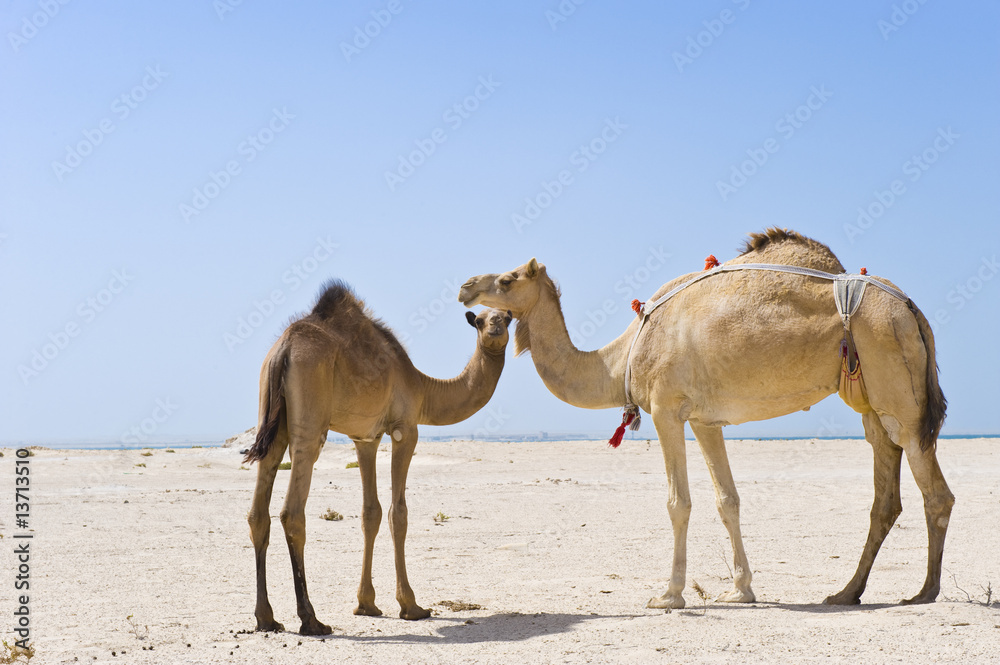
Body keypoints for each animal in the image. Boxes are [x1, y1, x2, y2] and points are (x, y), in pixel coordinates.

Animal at [241, 280, 508, 632]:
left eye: (507, 317)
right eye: (479, 320)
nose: (495, 328)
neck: (422, 388)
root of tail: (283, 350)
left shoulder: (365, 438)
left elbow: (371, 513)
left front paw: (366, 604)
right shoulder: (405, 428)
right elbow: (398, 513)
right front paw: (411, 605)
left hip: (271, 414)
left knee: (259, 508)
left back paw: (266, 618)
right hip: (310, 416)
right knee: (292, 511)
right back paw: (311, 620)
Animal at [458, 231, 952, 608]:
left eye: (507, 279)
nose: (465, 286)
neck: (621, 357)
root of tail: (912, 309)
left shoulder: (666, 409)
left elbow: (679, 503)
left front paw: (669, 595)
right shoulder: (705, 420)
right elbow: (727, 500)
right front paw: (740, 590)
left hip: (898, 387)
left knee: (935, 491)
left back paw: (923, 592)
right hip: (873, 403)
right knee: (885, 493)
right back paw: (846, 593)